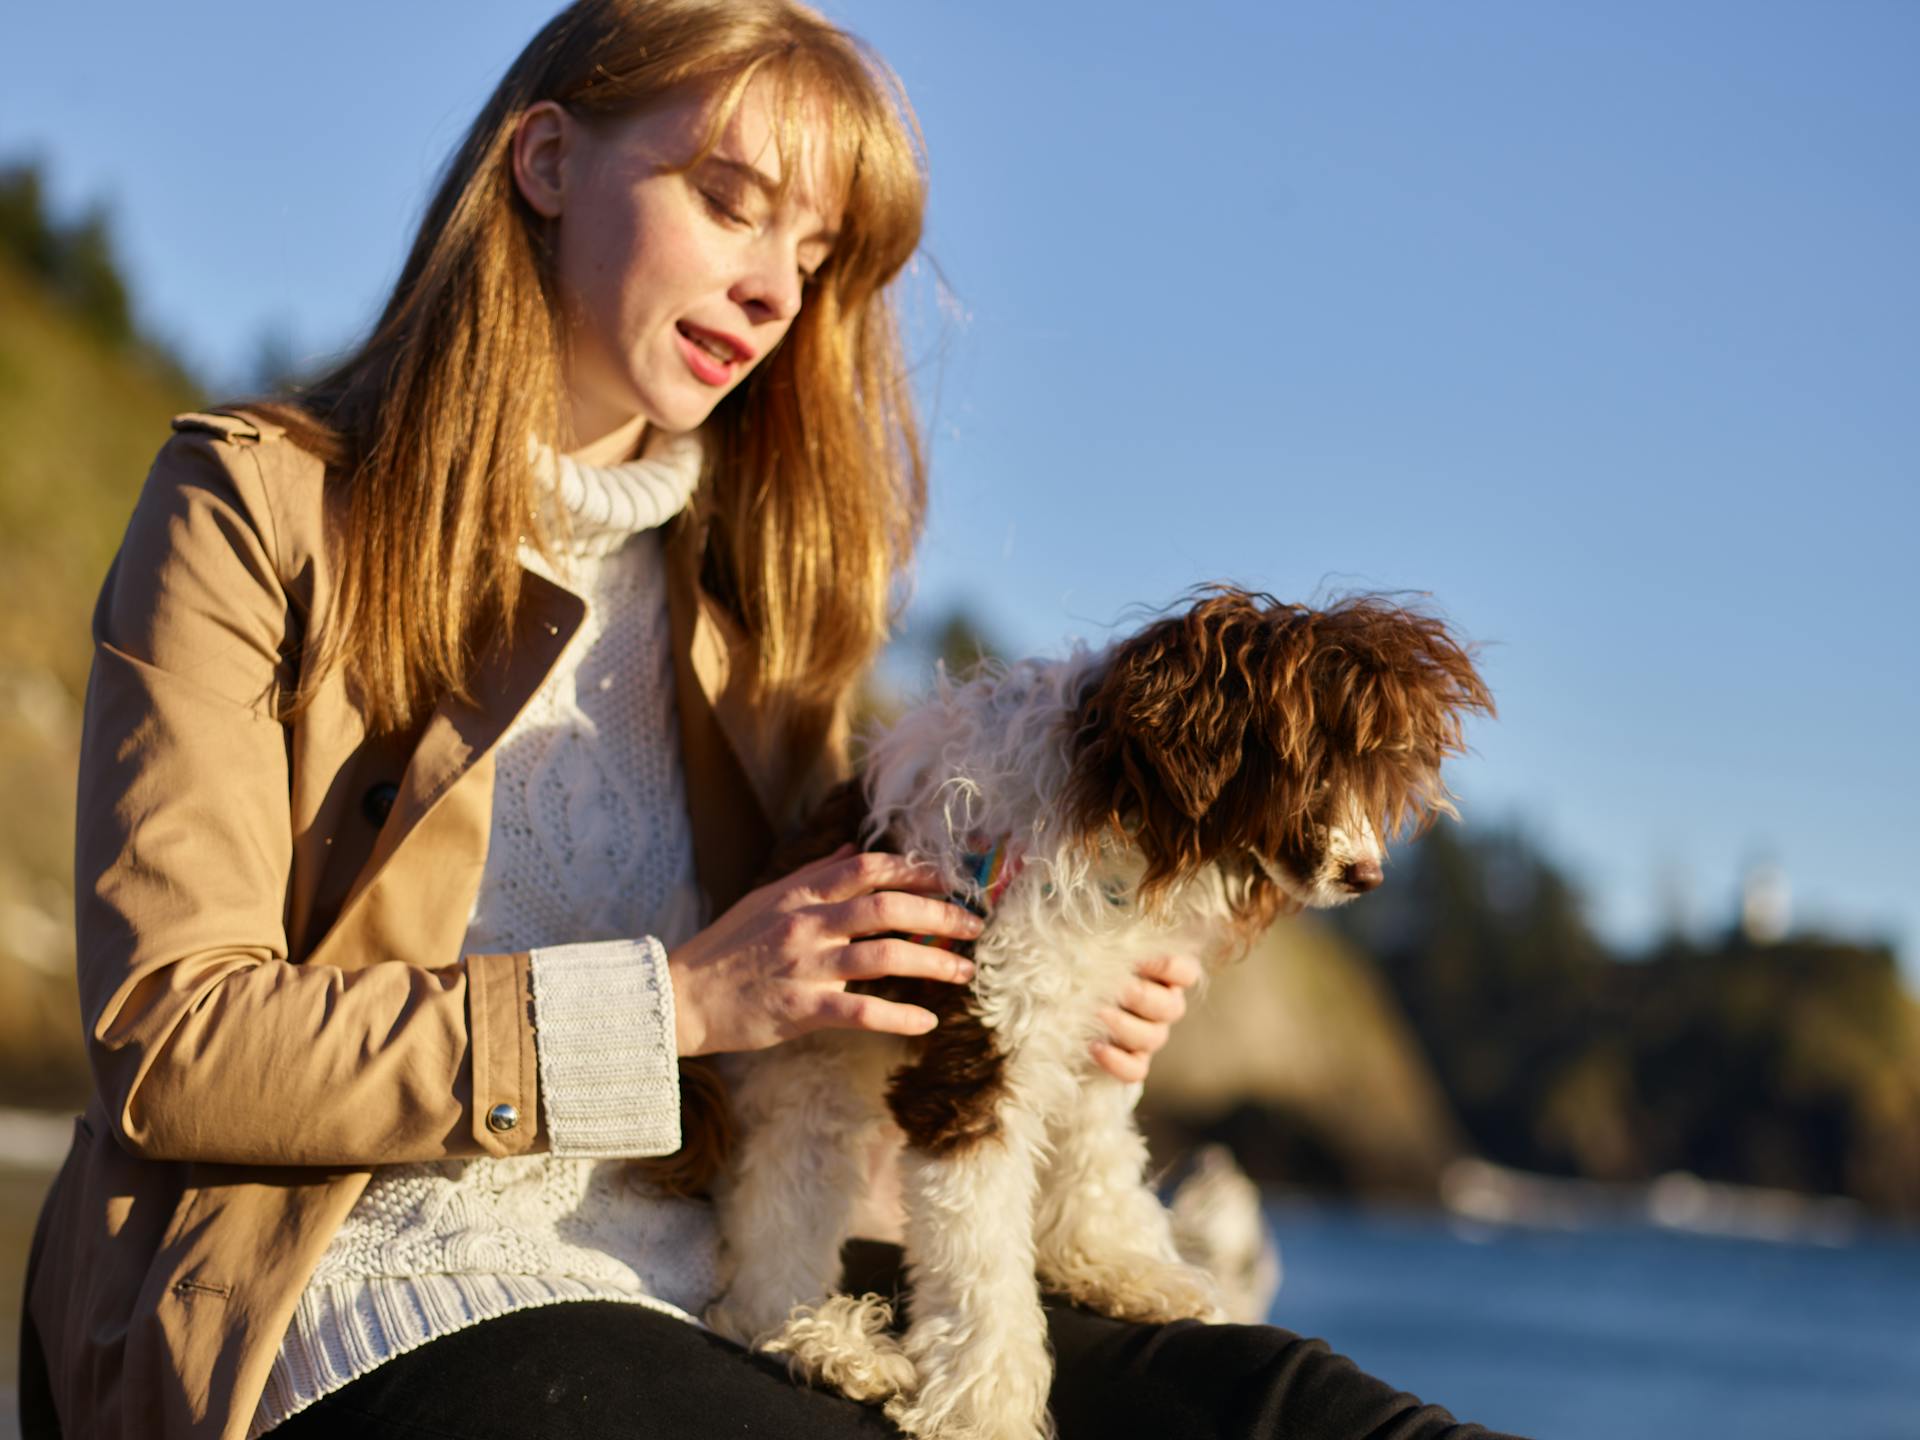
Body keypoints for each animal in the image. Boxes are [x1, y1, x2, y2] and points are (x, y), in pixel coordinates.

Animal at [702, 587, 1482, 1440]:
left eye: (1375, 770)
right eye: (1309, 760)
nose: (1367, 875)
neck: (1113, 815)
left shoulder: (1100, 1014)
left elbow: (1100, 1146)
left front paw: (1113, 1265)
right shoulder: (978, 1048)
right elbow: (980, 1254)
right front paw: (986, 1409)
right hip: (807, 1087)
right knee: (758, 1280)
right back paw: (833, 1347)